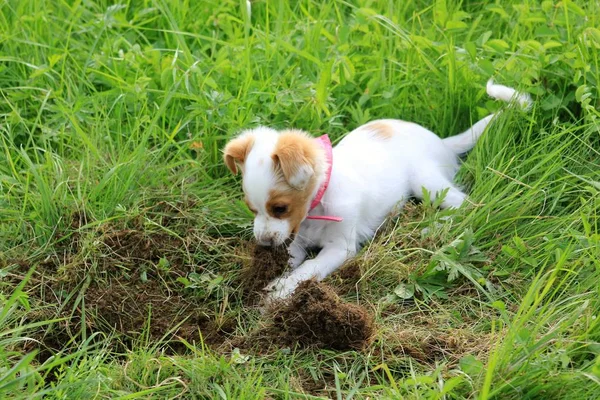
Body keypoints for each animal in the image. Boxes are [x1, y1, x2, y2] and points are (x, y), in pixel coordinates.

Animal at [224, 80, 528, 300]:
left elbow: (309, 268)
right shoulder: (296, 239)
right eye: (252, 209)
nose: (263, 243)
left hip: (427, 182)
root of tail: (441, 141)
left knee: (464, 205)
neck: (316, 209)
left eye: (280, 208)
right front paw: (273, 278)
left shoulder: (341, 248)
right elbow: (292, 260)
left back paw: (434, 226)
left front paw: (281, 292)